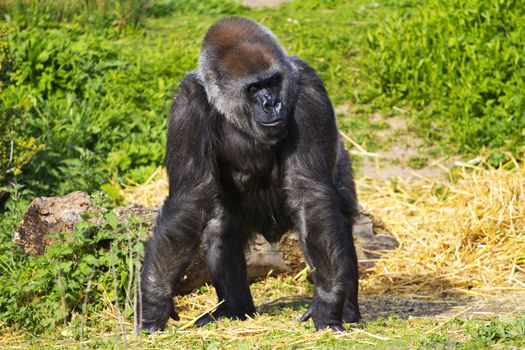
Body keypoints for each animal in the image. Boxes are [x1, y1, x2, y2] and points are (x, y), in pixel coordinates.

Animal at [137, 16, 360, 332]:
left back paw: (348, 309)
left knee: (333, 218)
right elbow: (190, 198)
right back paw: (235, 309)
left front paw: (328, 302)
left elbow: (310, 194)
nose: (272, 103)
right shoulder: (186, 103)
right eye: (254, 88)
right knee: (221, 231)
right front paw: (155, 299)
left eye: (273, 82)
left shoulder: (309, 89)